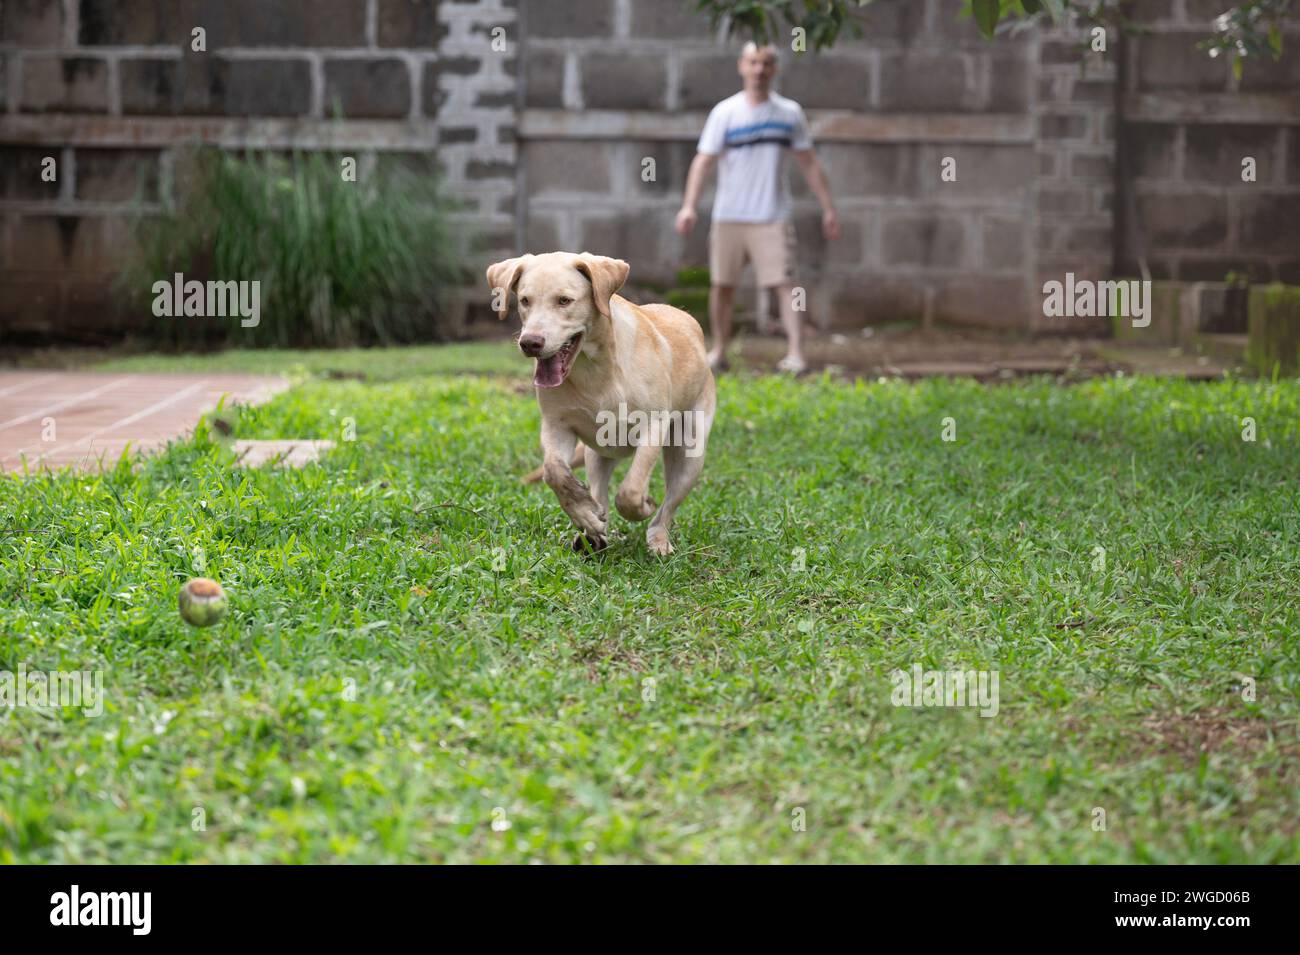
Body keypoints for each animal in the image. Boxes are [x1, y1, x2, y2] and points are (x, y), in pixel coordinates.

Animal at [488, 250, 717, 556]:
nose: (530, 343)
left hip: (690, 453)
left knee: (667, 506)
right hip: (598, 452)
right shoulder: (556, 425)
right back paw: (591, 532)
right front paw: (585, 514)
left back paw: (658, 539)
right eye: (525, 300)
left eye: (564, 300)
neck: (594, 370)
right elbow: (554, 472)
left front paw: (642, 505)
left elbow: (631, 491)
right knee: (598, 489)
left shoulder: (653, 425)